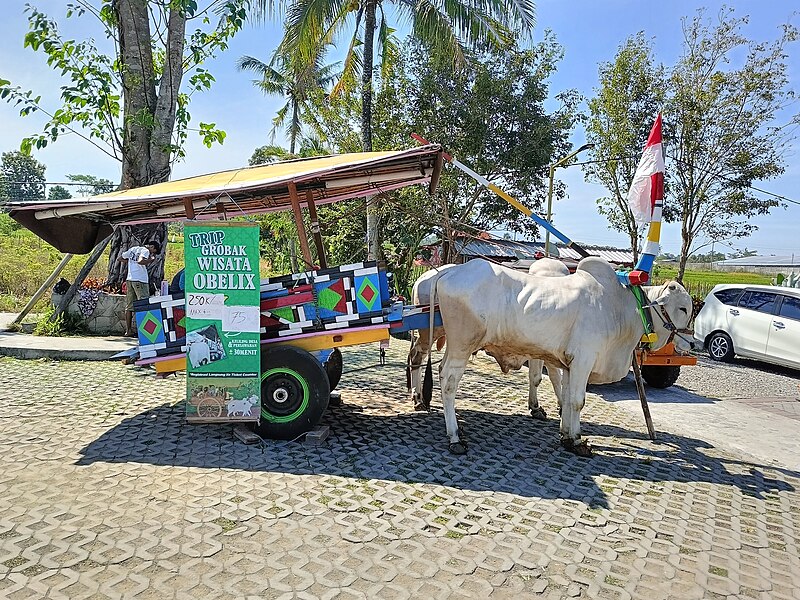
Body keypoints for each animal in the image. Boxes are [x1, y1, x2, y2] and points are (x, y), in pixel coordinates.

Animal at [432, 256, 692, 454]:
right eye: (682, 308)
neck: (621, 307)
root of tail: (450, 272)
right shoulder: (583, 361)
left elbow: (566, 399)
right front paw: (576, 440)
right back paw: (455, 437)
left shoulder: (569, 365)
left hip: (455, 347)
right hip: (462, 347)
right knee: (448, 383)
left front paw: (565, 435)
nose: (690, 342)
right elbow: (577, 401)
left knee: (441, 371)